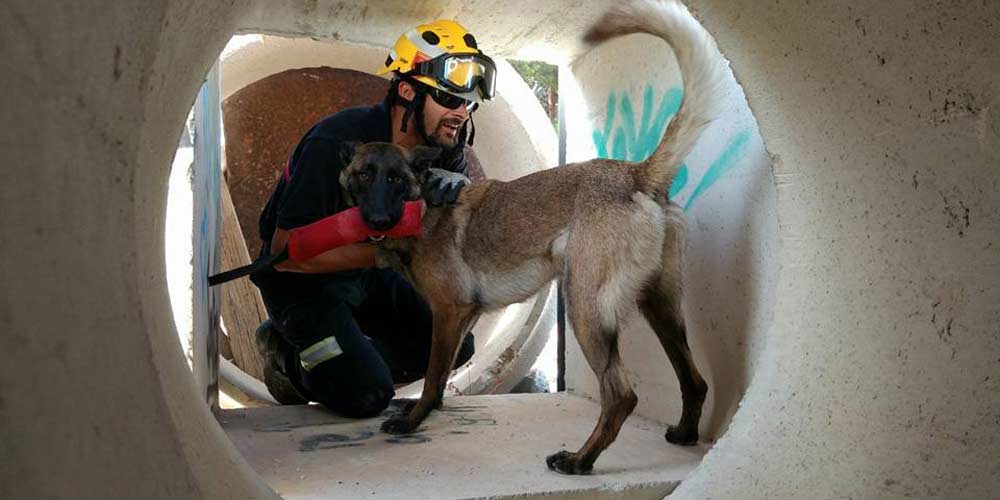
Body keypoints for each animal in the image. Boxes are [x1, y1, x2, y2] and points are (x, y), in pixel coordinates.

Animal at [338, 0, 728, 474]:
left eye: (395, 178)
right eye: (363, 176)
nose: (377, 220)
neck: (425, 209)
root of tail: (636, 174)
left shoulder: (449, 312)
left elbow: (432, 379)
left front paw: (413, 420)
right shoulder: (465, 316)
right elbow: (443, 376)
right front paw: (429, 411)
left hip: (585, 308)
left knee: (621, 395)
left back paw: (580, 460)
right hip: (660, 306)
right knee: (694, 379)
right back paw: (684, 434)